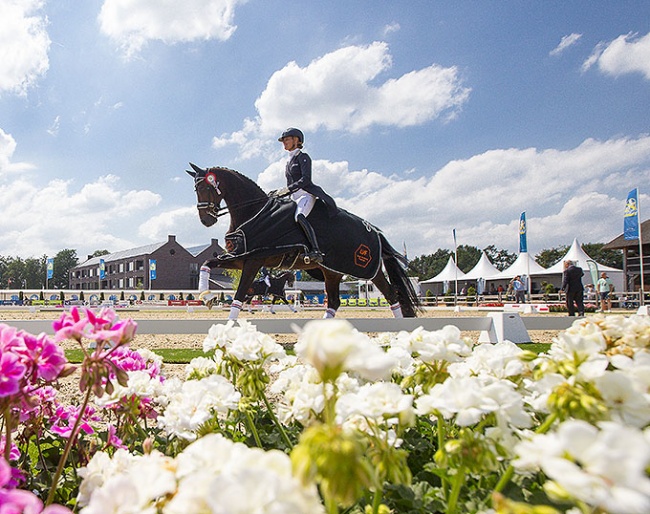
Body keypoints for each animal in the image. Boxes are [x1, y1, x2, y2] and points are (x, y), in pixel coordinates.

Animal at [185, 162, 418, 318]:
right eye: (196, 189)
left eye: (206, 187)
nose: (206, 219)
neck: (255, 212)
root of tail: (375, 231)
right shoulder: (242, 257)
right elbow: (207, 263)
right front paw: (207, 297)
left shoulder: (254, 260)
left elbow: (239, 295)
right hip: (332, 271)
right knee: (334, 301)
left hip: (369, 270)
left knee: (392, 295)